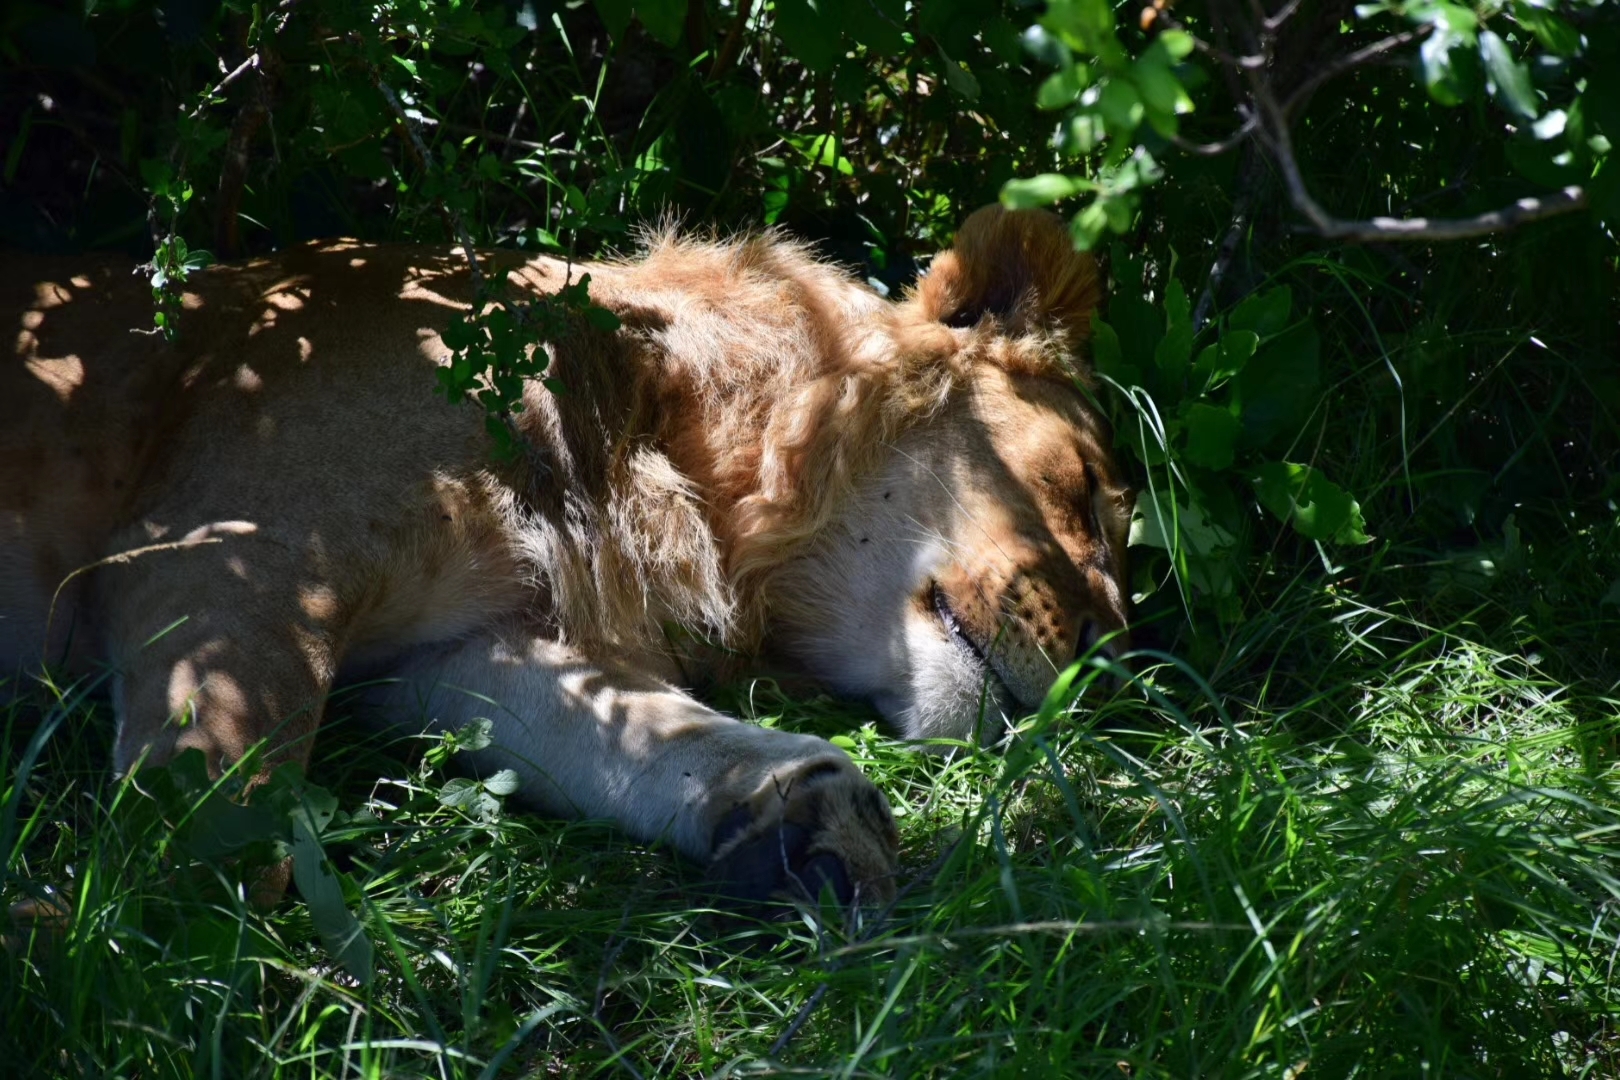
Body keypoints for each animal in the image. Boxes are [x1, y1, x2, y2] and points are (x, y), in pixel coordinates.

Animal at [3, 207, 1127, 906]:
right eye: (1080, 486)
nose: (1109, 667)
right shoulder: (231, 546)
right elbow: (218, 827)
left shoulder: (449, 655)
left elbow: (641, 732)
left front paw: (808, 817)